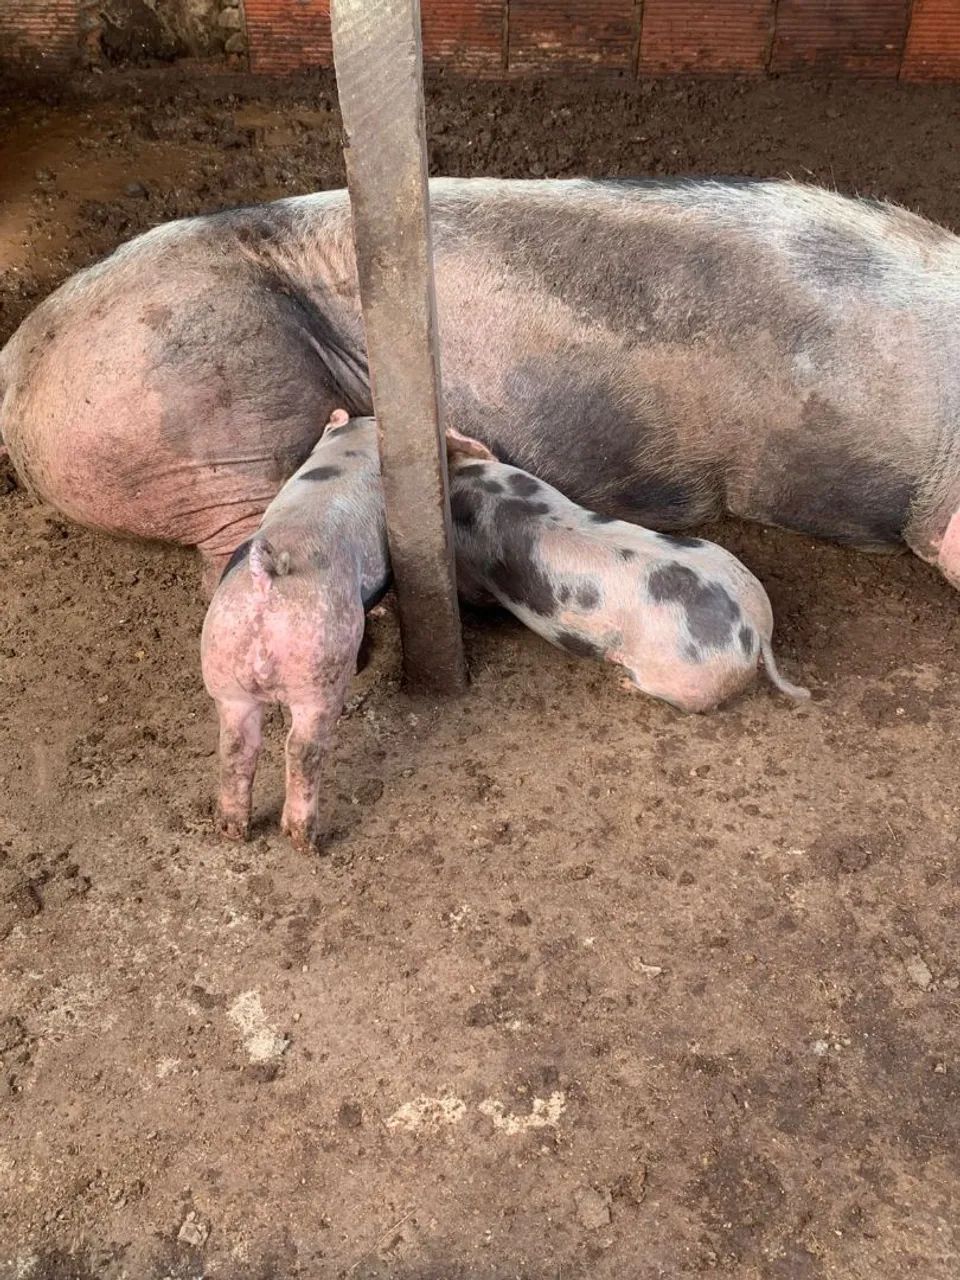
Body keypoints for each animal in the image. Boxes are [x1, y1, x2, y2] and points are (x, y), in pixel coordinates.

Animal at [200, 410, 389, 852]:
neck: (351, 446)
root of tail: (265, 581)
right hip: (318, 668)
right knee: (302, 749)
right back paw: (304, 840)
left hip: (223, 664)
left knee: (236, 745)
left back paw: (232, 829)